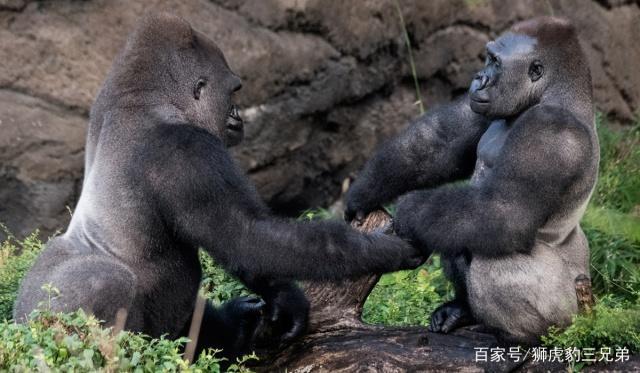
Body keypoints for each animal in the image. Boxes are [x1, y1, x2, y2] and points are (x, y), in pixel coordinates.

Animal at [13, 12, 420, 358]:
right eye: (233, 91)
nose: (238, 114)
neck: (140, 98)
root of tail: (18, 327)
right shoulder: (188, 150)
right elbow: (248, 236)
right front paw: (388, 248)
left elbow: (250, 245)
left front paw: (285, 301)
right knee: (104, 280)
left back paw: (237, 325)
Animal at [344, 16, 600, 342]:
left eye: (495, 62)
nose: (479, 78)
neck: (552, 94)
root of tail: (588, 303)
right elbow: (441, 142)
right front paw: (364, 193)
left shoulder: (550, 130)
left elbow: (504, 214)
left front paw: (410, 211)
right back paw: (461, 310)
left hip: (571, 312)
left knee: (494, 252)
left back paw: (523, 339)